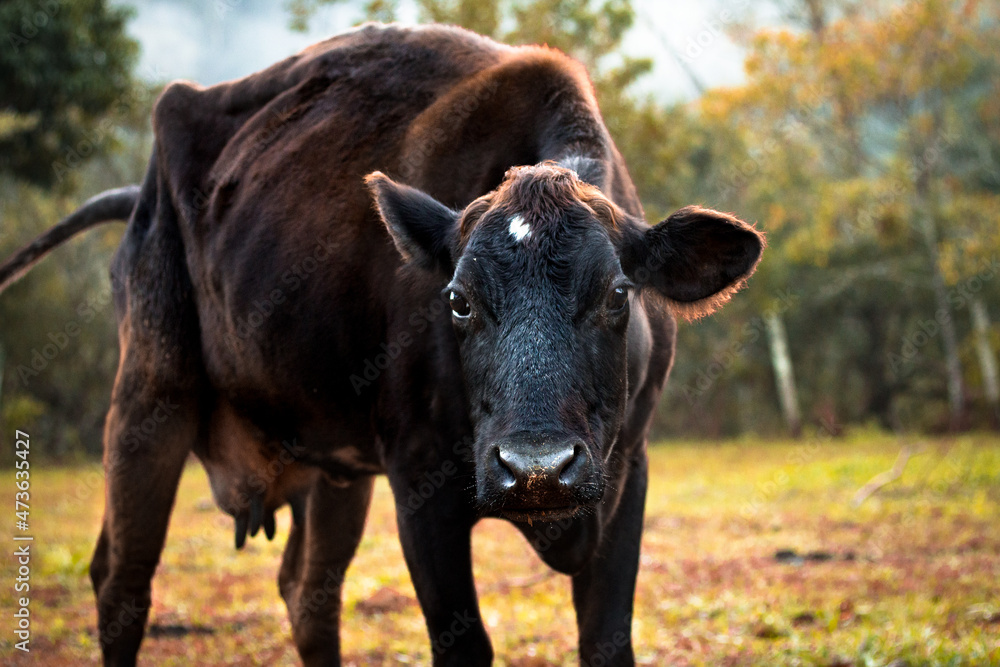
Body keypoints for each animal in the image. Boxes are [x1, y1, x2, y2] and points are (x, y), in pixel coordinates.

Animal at [1, 22, 764, 667]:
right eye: (457, 301)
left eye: (617, 295)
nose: (537, 467)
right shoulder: (419, 481)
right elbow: (464, 645)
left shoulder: (626, 468)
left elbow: (607, 642)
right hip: (149, 393)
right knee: (122, 582)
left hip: (334, 460)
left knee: (308, 592)